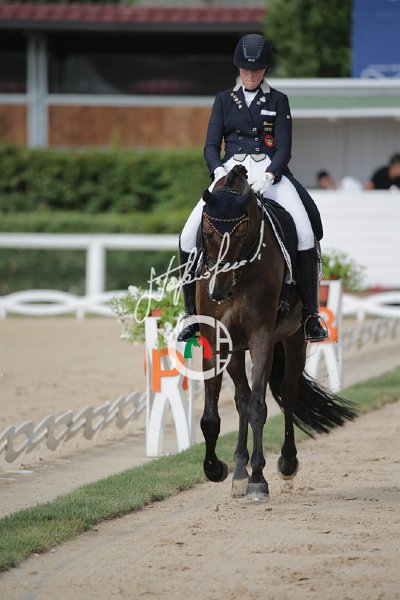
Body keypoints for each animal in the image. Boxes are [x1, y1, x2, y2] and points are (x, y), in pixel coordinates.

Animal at [196, 164, 357, 501]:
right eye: (206, 233)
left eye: (241, 233)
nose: (218, 291)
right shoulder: (215, 338)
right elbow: (211, 416)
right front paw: (215, 469)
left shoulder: (262, 337)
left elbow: (260, 407)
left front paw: (259, 479)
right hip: (236, 349)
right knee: (242, 397)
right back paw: (239, 472)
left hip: (293, 340)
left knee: (288, 392)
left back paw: (286, 463)